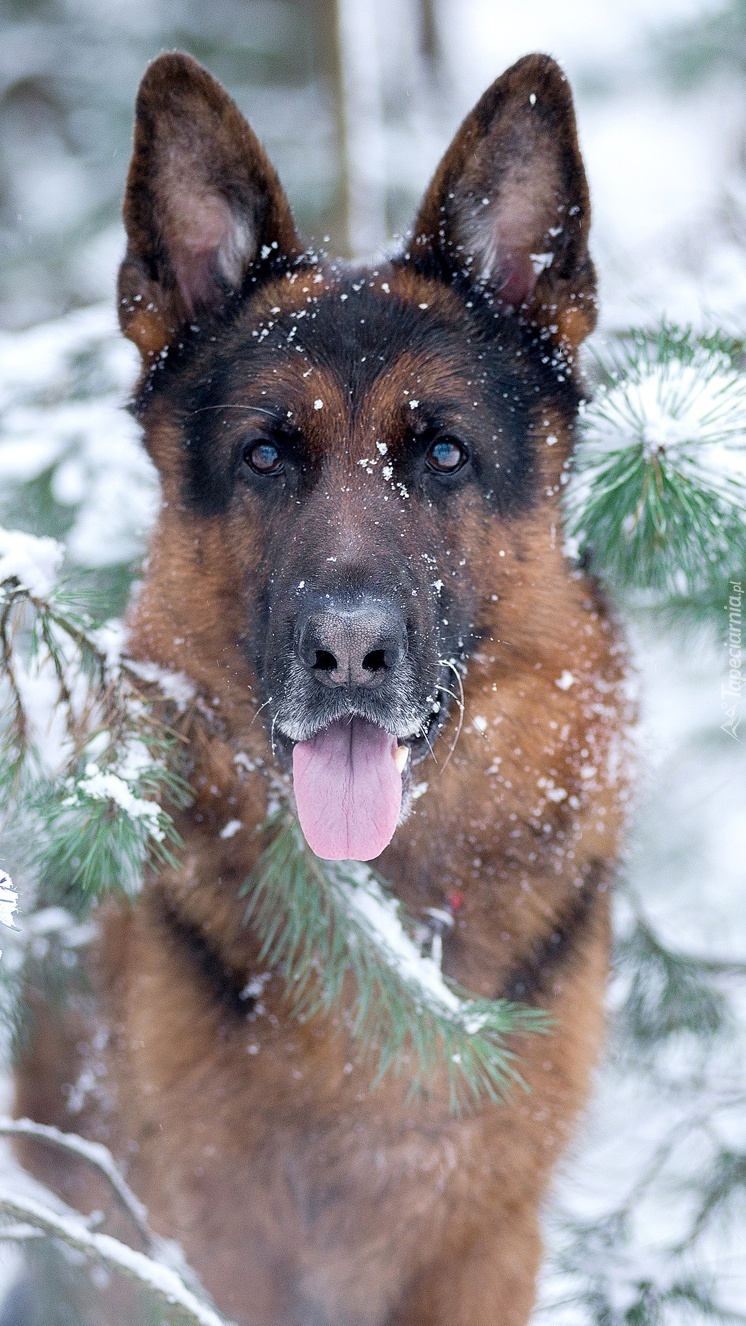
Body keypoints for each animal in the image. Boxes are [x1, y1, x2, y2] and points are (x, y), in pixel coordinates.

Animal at [11, 50, 629, 1326]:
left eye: (441, 453)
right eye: (264, 455)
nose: (347, 652)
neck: (377, 931)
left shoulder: (481, 1247)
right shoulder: (216, 1241)